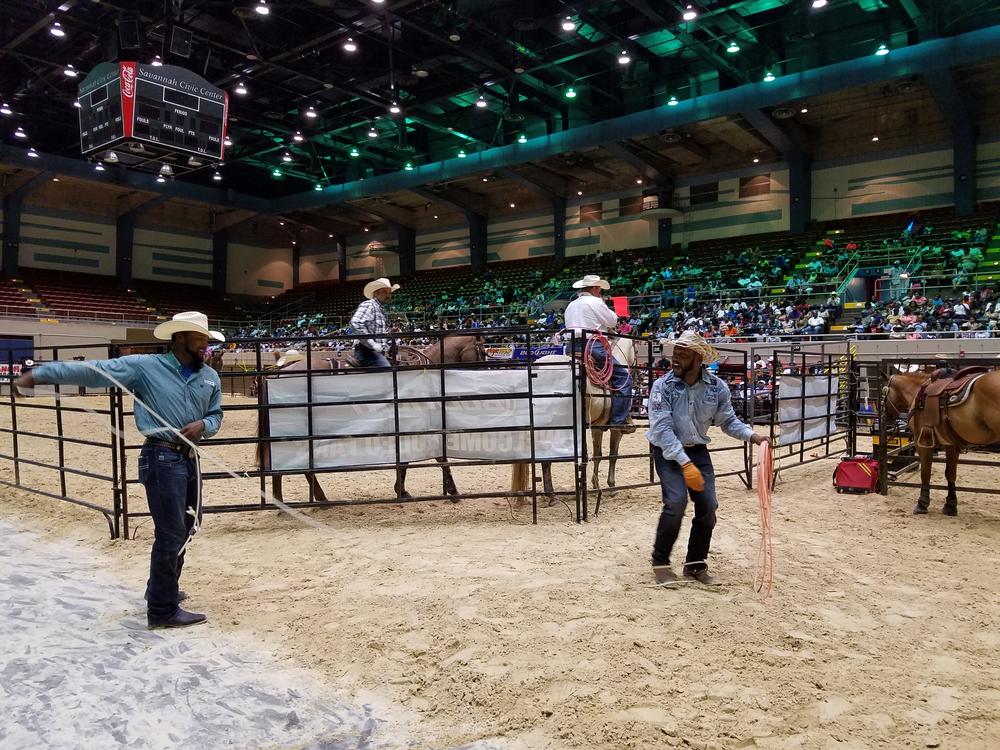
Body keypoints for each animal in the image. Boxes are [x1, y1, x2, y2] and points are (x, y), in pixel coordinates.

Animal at [512, 338, 636, 508]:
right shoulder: (615, 429)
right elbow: (613, 455)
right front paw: (612, 487)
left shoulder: (596, 427)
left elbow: (597, 455)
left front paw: (595, 485)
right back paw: (551, 496)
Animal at [884, 368, 1000, 516]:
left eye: (885, 392)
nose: (886, 415)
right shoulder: (951, 445)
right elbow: (950, 474)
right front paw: (950, 506)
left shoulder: (923, 442)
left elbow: (925, 473)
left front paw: (922, 504)